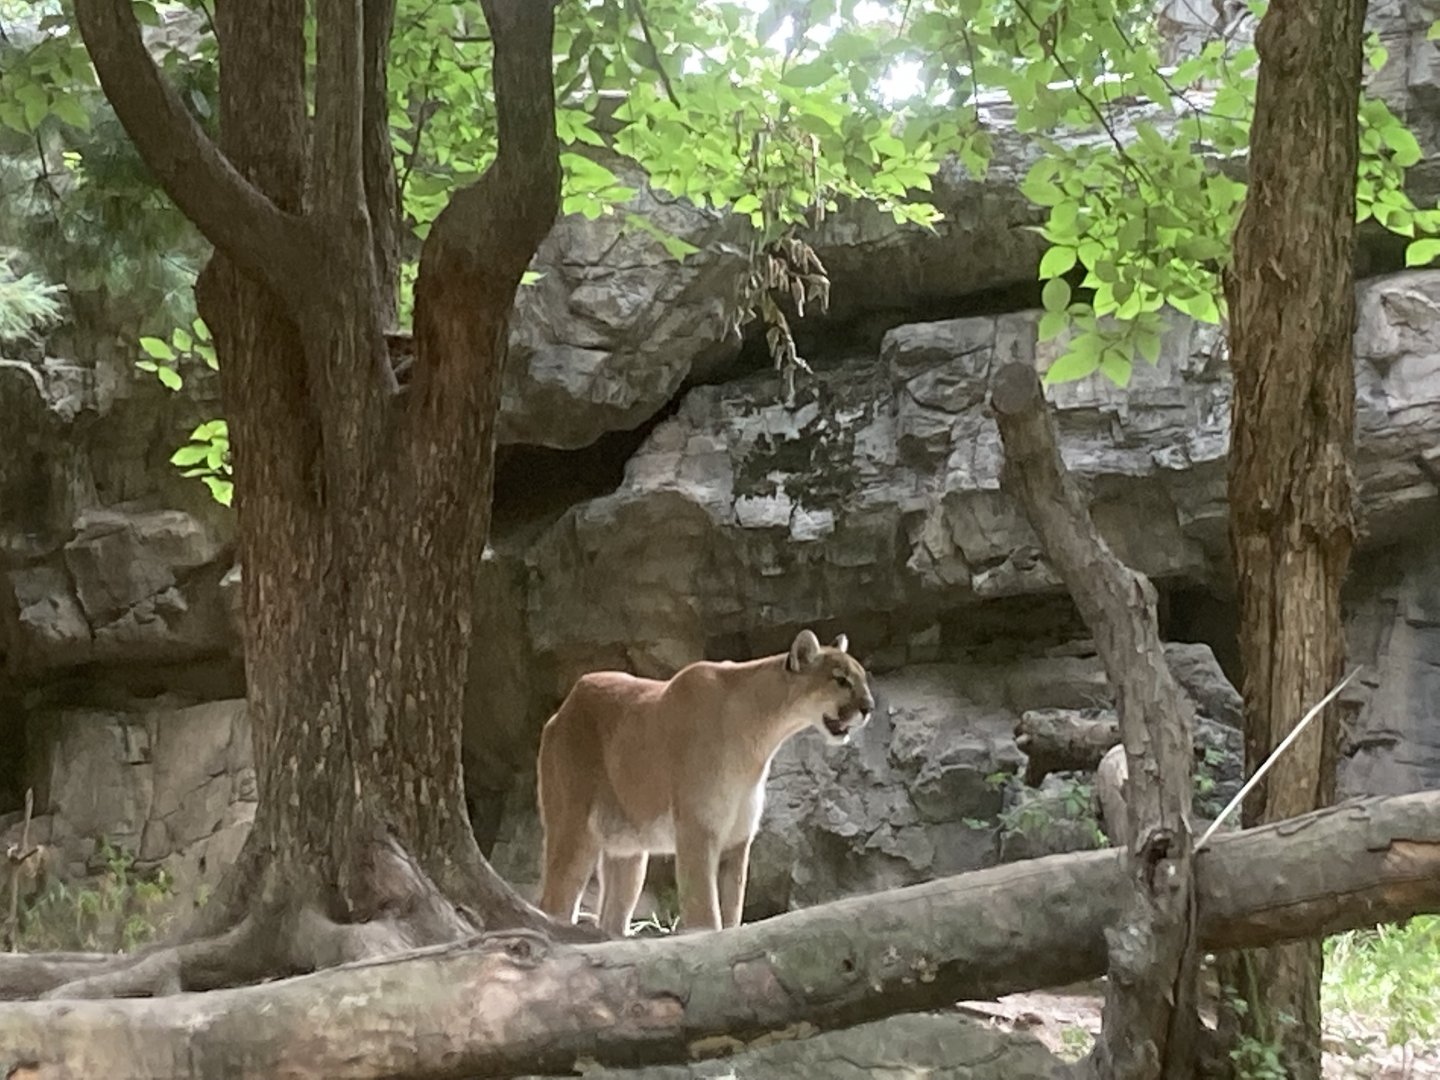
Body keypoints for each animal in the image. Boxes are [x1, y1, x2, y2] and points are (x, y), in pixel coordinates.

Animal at [535, 629, 875, 936]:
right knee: (552, 903)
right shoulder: (697, 832)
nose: (869, 708)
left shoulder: (737, 841)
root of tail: (561, 710)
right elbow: (705, 914)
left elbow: (731, 912)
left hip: (628, 852)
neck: (760, 739)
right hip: (574, 829)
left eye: (862, 678)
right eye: (840, 680)